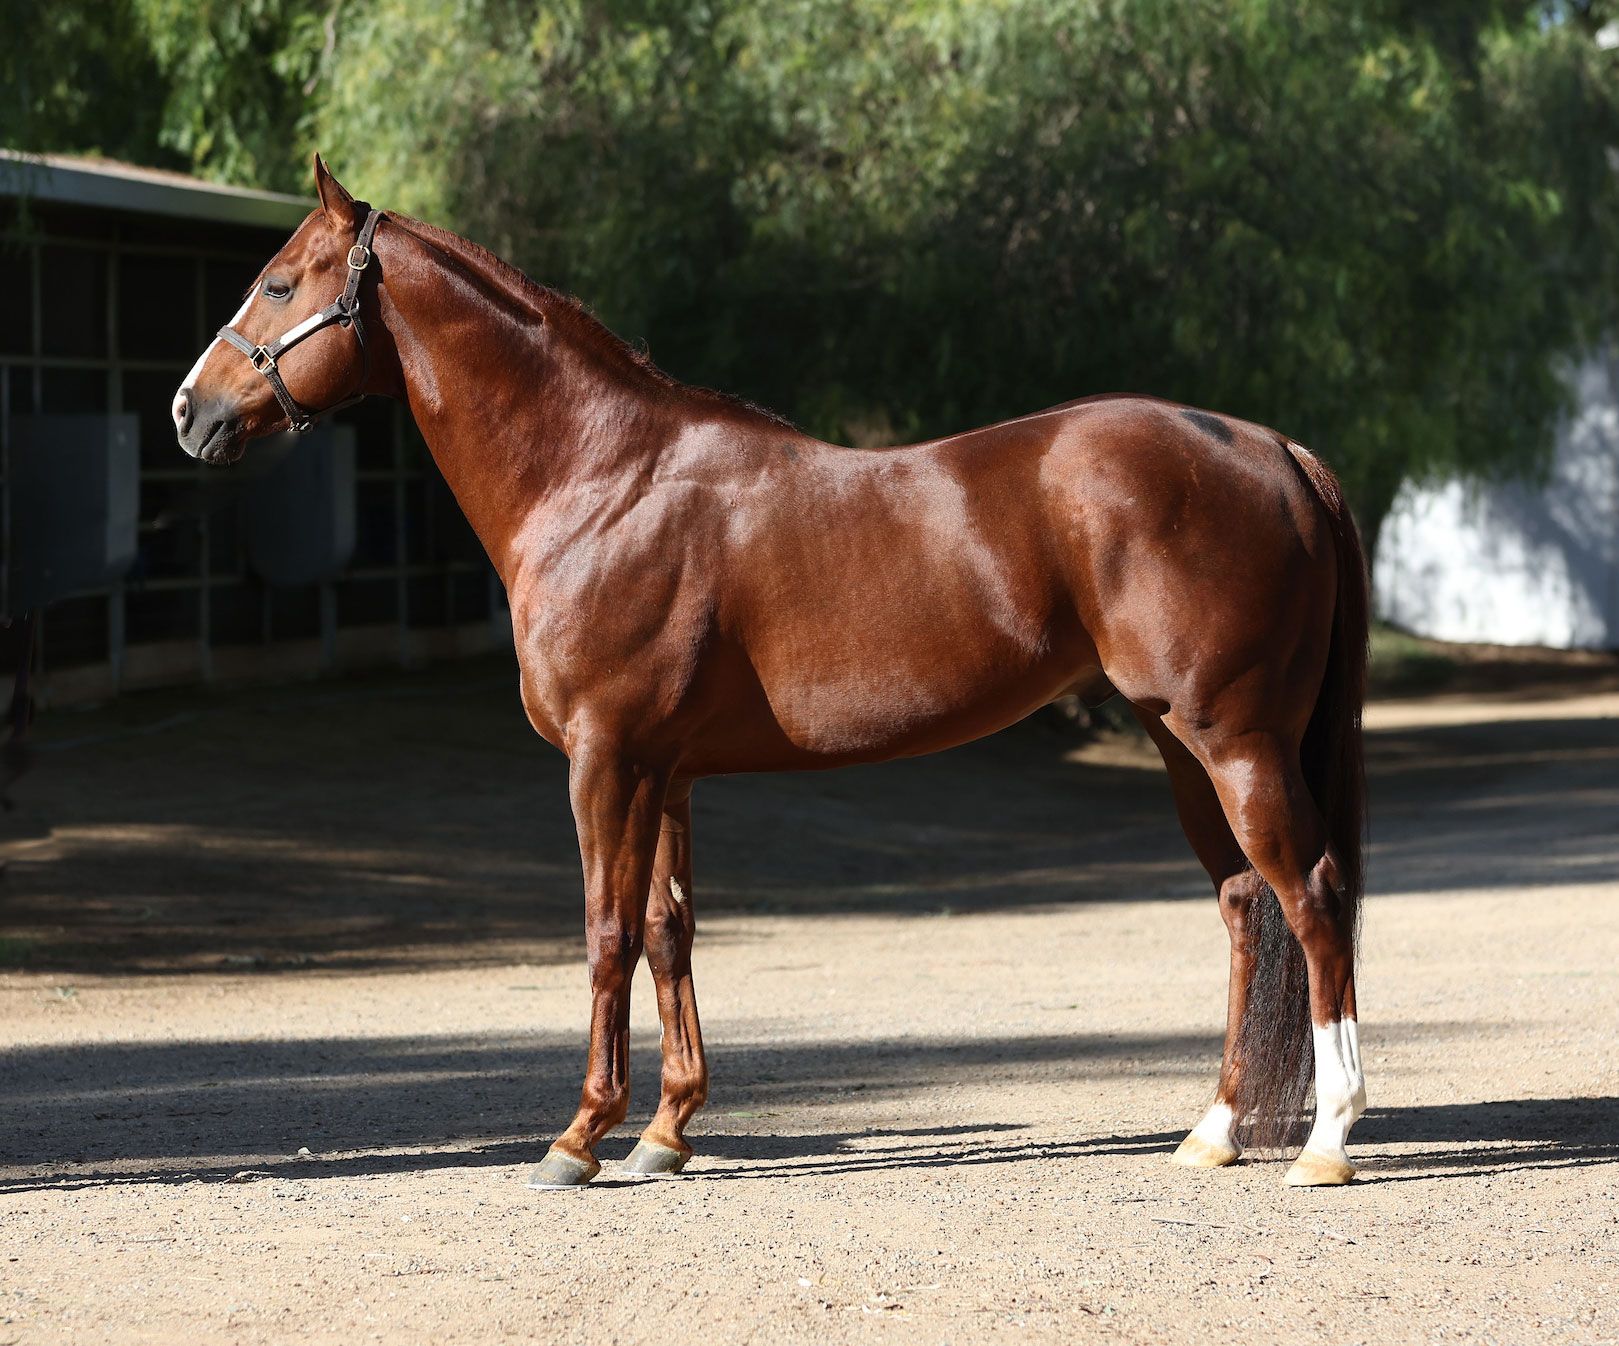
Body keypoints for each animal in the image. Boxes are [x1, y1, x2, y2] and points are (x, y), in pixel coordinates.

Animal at [173, 156, 1368, 1190]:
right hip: (1181, 742)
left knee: (1308, 895)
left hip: (1234, 742)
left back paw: (1325, 1141)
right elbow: (668, 934)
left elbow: (605, 933)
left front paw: (578, 1138)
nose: (190, 410)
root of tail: (1273, 449)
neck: (601, 480)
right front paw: (664, 1132)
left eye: (278, 281)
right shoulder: (665, 770)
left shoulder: (604, 760)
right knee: (1242, 904)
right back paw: (1213, 1130)